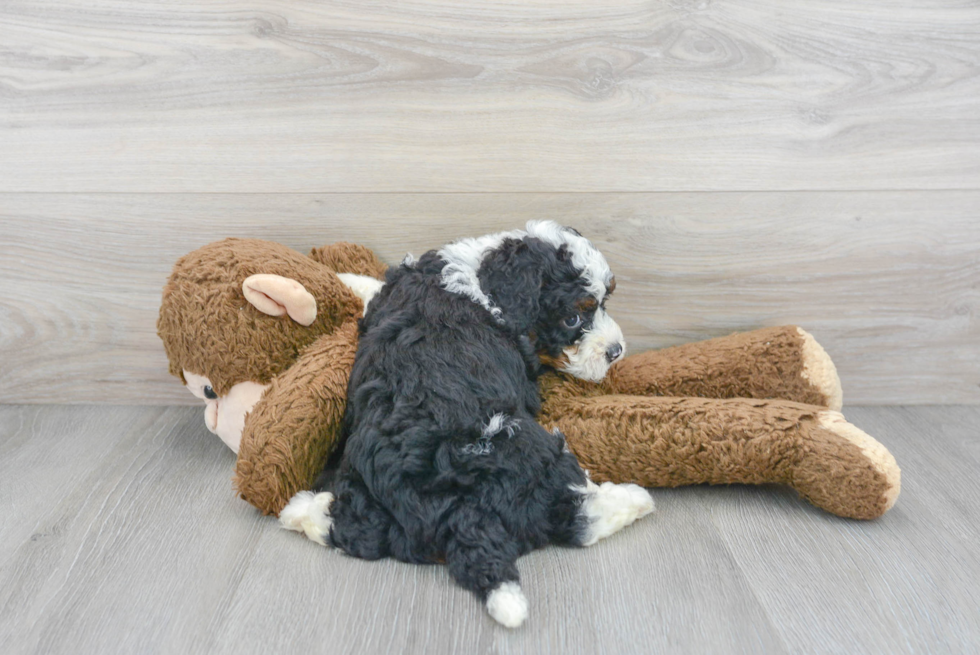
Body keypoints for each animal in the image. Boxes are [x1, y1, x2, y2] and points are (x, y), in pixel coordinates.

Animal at [280, 222, 656, 632]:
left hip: (369, 493)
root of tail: (462, 510)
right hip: (538, 453)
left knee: (354, 529)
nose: (616, 351)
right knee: (576, 514)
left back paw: (299, 509)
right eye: (572, 319)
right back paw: (635, 498)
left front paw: (347, 278)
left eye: (605, 302)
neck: (481, 279)